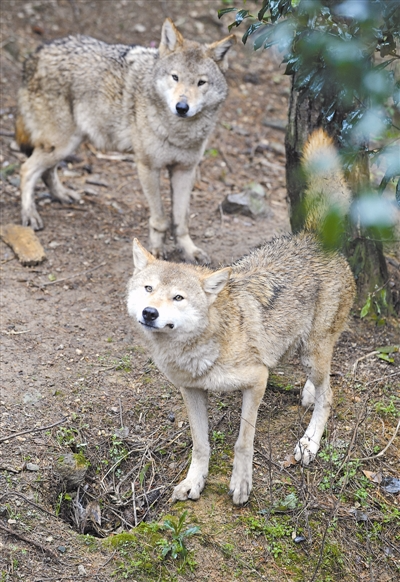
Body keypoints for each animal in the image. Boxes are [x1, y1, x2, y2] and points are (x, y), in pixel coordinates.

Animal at [15, 18, 234, 264]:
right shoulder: (148, 167)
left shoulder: (185, 170)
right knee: (26, 169)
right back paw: (30, 215)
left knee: (46, 171)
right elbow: (160, 219)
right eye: (175, 77)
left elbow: (181, 220)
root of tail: (35, 54)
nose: (182, 107)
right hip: (61, 144)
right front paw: (156, 251)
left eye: (201, 82)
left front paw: (188, 250)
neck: (178, 132)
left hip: (66, 145)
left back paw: (62, 195)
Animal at [126, 129, 354, 506]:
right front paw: (194, 482)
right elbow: (201, 443)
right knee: (320, 382)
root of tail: (313, 238)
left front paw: (241, 484)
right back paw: (308, 394)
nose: (149, 312)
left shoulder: (257, 381)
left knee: (330, 394)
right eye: (148, 288)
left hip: (312, 352)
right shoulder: (191, 391)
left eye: (178, 297)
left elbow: (243, 442)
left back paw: (309, 443)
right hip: (302, 348)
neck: (200, 351)